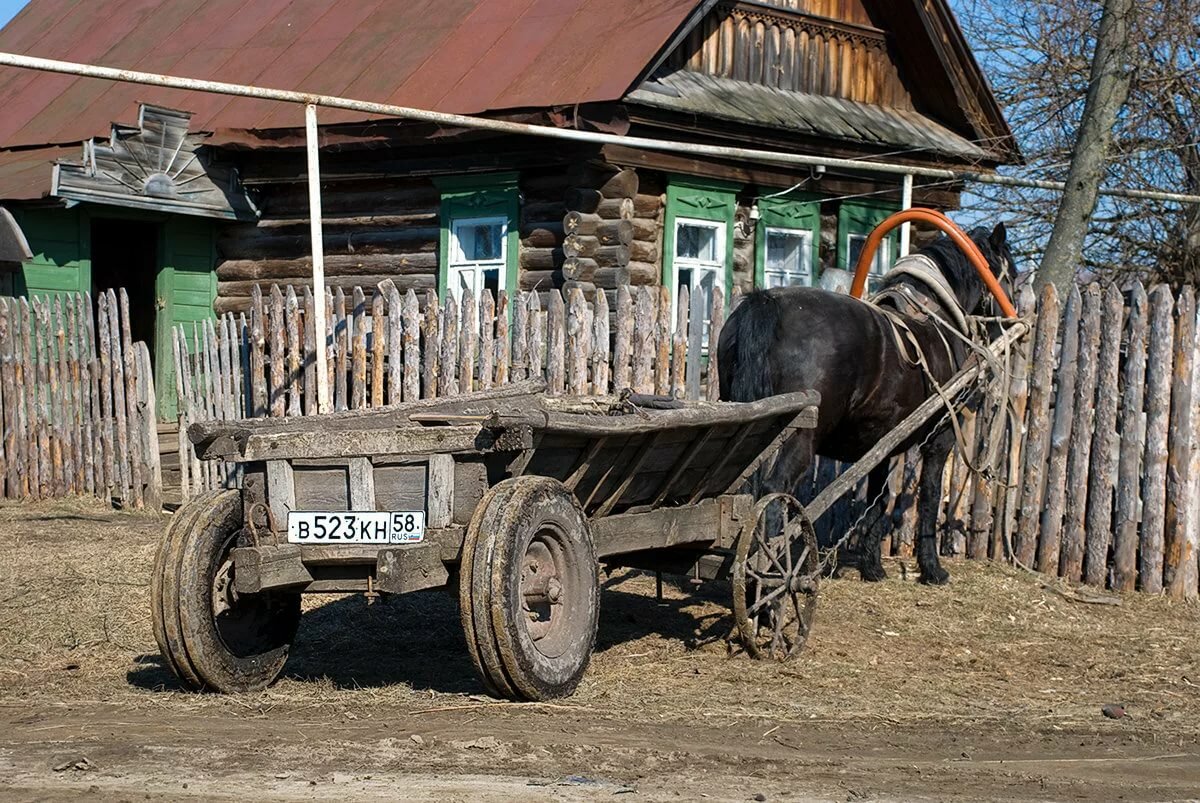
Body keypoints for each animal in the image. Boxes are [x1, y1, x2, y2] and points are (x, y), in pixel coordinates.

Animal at [718, 223, 1015, 585]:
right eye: (1012, 275)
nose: (1011, 319)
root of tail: (765, 300)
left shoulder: (881, 444)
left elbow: (878, 499)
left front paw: (872, 565)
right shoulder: (940, 437)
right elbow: (929, 497)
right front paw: (932, 568)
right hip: (800, 437)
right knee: (776, 490)